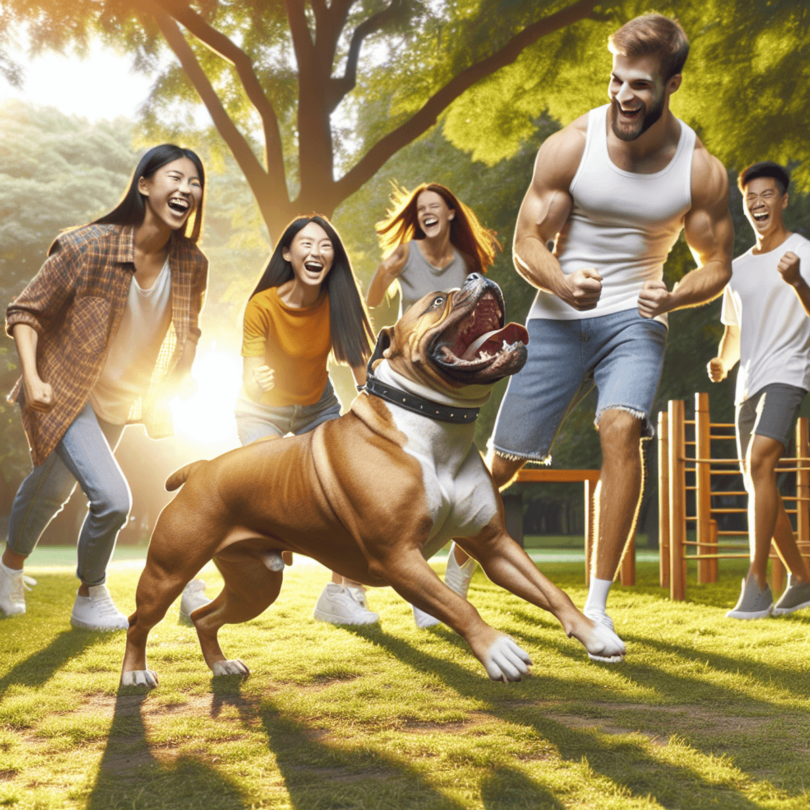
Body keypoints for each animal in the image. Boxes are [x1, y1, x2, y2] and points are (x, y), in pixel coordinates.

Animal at [121, 274, 624, 684]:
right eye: (438, 301)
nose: (479, 275)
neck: (435, 424)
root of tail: (201, 468)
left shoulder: (494, 544)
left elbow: (549, 590)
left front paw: (594, 635)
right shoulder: (398, 556)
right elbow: (458, 604)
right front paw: (497, 649)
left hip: (257, 584)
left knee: (207, 617)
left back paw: (221, 665)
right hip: (168, 573)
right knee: (139, 621)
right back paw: (135, 675)